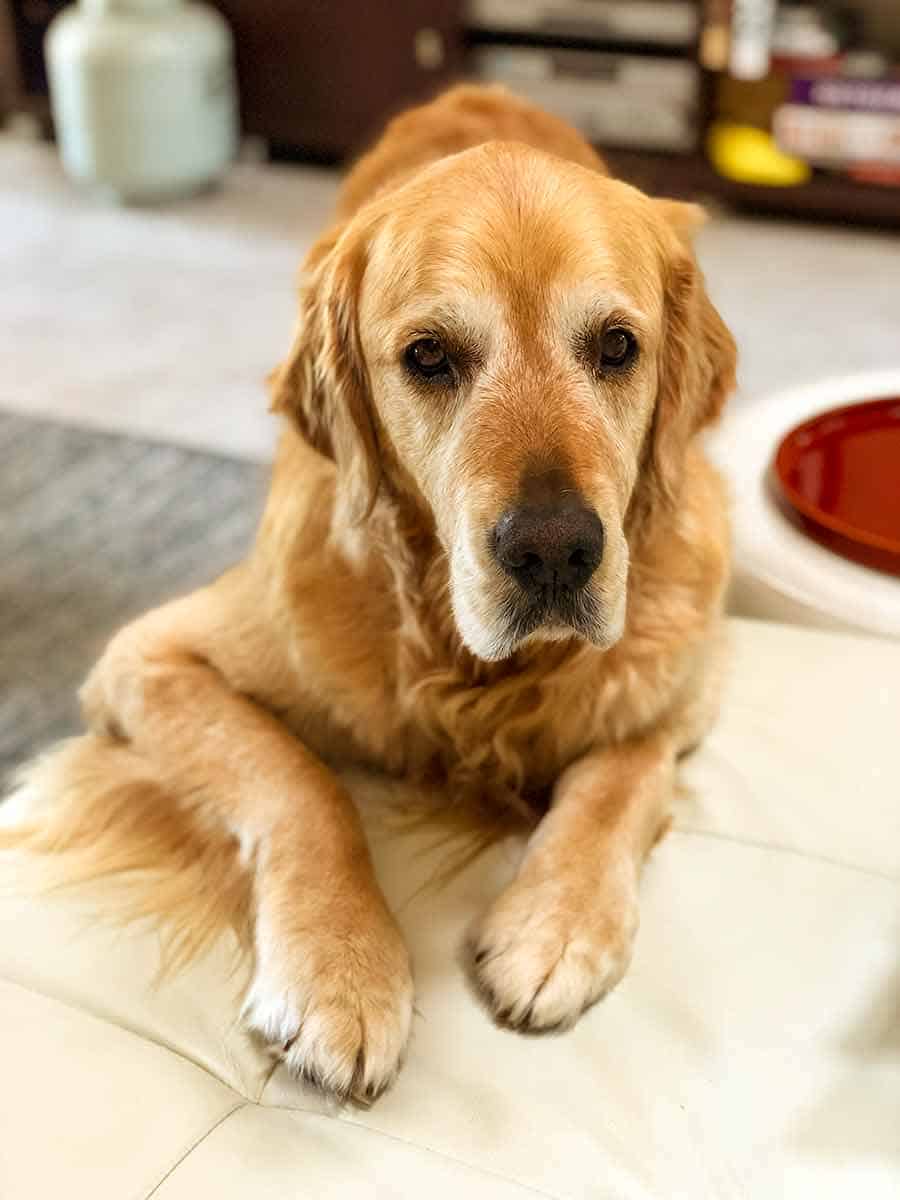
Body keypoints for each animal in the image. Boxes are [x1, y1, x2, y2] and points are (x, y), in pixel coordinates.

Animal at [5, 87, 739, 1104]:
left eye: (618, 346)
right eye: (429, 356)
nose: (556, 552)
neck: (465, 669)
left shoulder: (688, 674)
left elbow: (621, 773)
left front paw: (556, 924)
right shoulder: (146, 658)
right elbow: (300, 783)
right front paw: (341, 970)